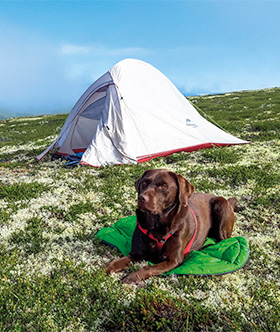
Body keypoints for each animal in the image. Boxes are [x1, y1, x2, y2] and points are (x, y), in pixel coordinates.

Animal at [106, 170, 237, 284]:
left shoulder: (173, 260)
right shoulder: (135, 254)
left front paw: (132, 276)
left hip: (221, 207)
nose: (141, 198)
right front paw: (104, 270)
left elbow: (148, 268)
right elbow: (116, 262)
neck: (155, 224)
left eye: (163, 186)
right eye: (144, 183)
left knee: (224, 240)